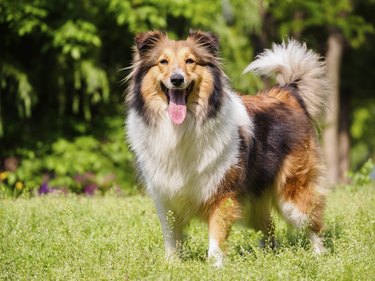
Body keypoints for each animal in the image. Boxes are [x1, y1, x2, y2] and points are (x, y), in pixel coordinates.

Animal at [125, 29, 328, 266]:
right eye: (162, 62)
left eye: (190, 61)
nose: (177, 79)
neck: (181, 127)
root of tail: (286, 93)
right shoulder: (166, 198)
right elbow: (172, 239)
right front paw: (172, 265)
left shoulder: (222, 194)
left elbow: (216, 238)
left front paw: (215, 266)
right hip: (251, 203)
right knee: (268, 226)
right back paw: (265, 257)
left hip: (292, 194)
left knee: (313, 224)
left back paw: (318, 256)